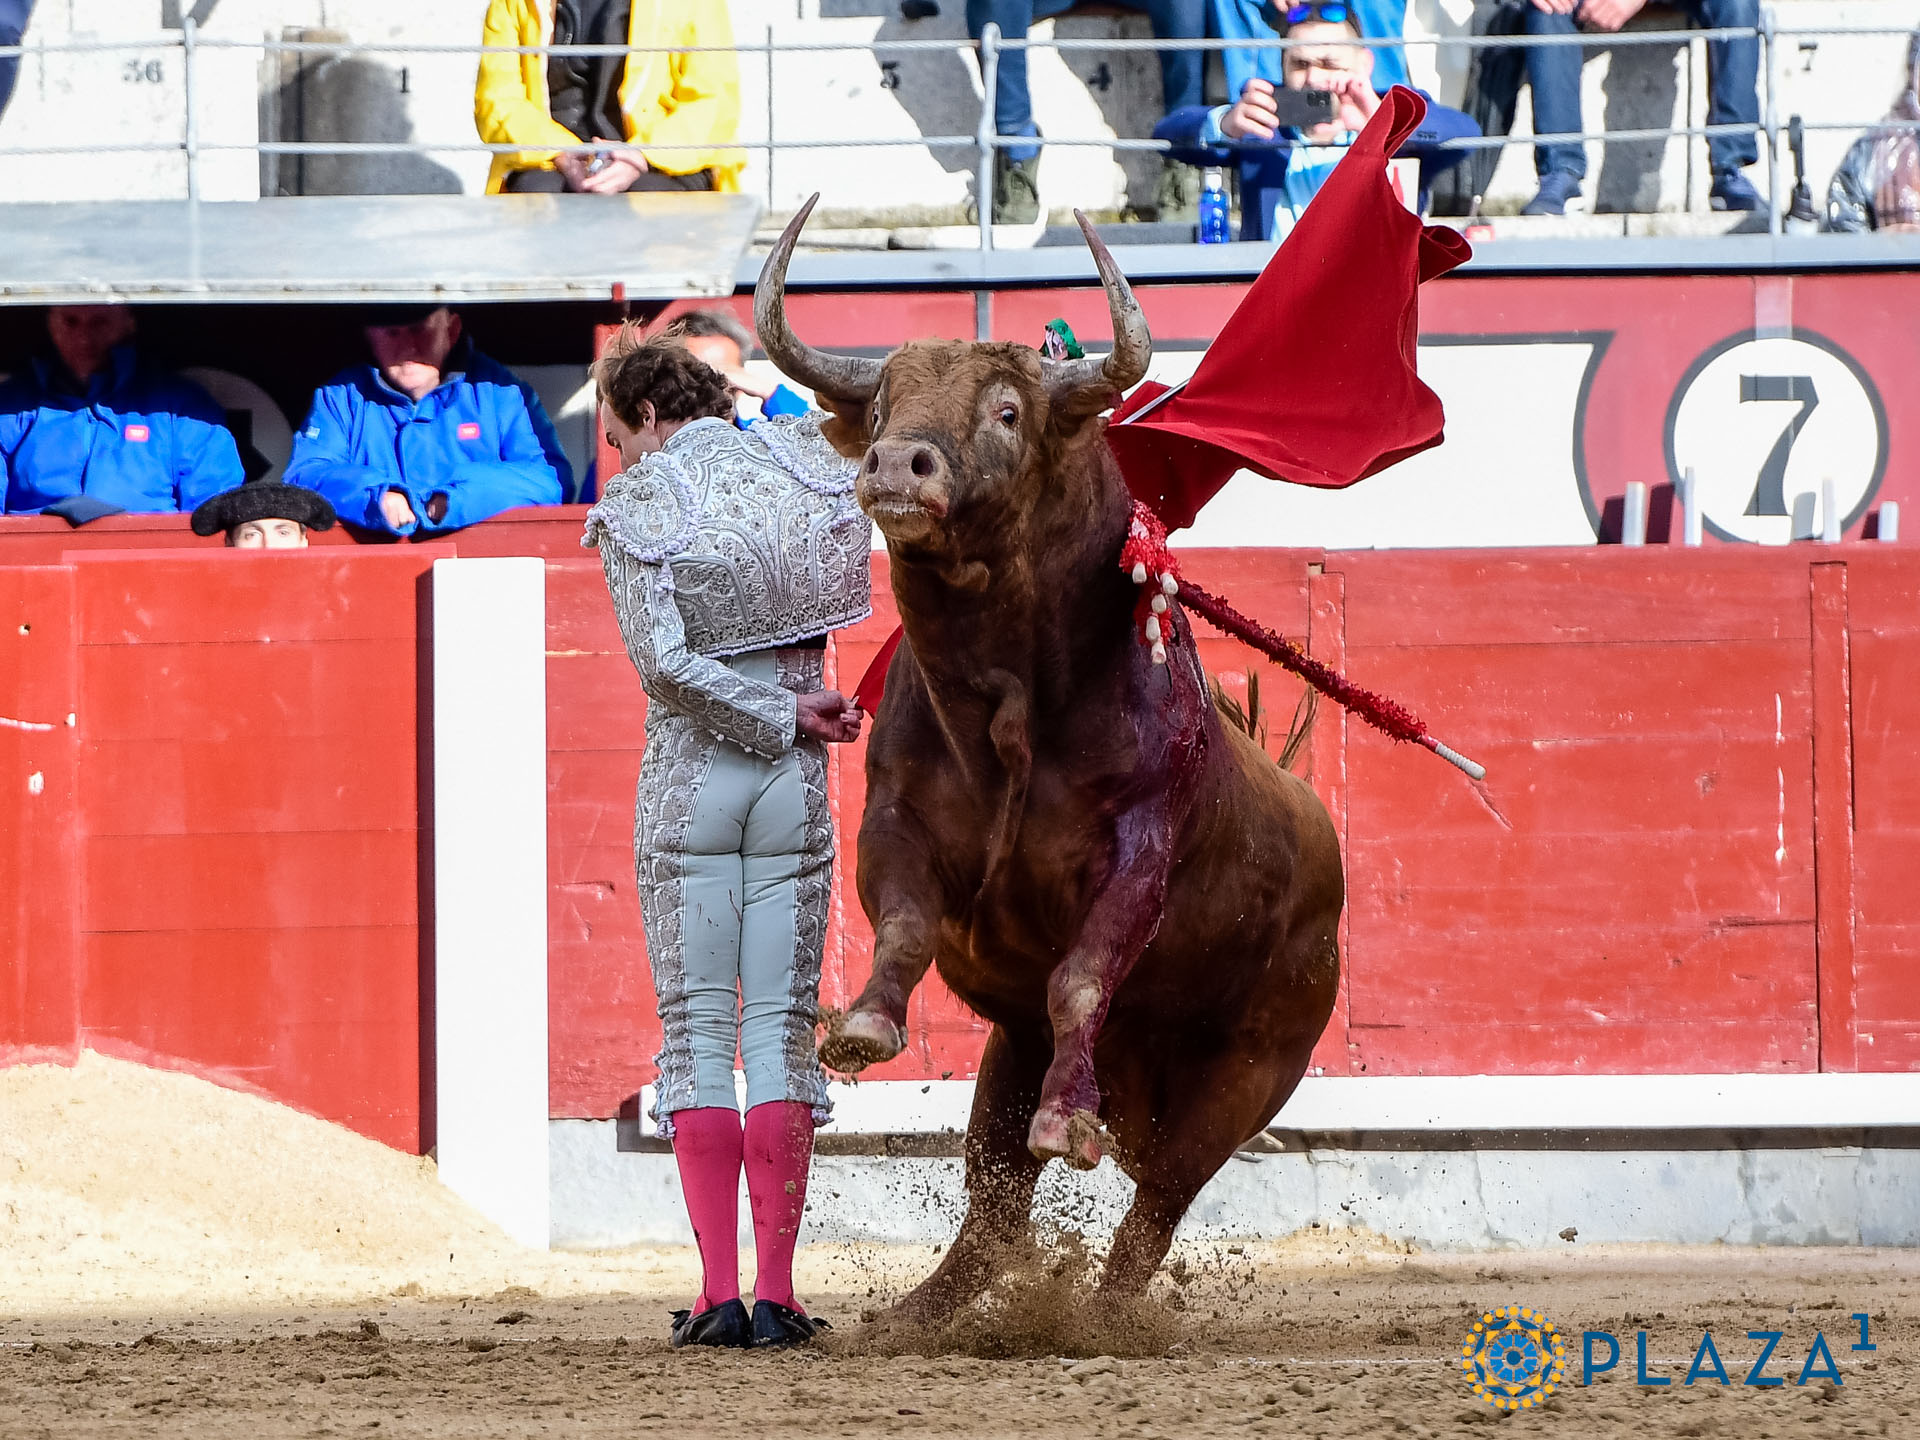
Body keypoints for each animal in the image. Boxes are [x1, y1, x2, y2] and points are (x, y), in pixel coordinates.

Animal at [755, 199, 1344, 1318]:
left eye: (1006, 411)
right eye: (884, 400)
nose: (897, 465)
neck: (1013, 710)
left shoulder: (1138, 853)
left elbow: (1082, 974)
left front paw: (1070, 1123)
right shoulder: (898, 822)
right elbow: (904, 925)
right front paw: (860, 1029)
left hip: (1251, 1073)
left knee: (1155, 1204)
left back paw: (1104, 1311)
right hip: (1008, 1054)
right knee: (995, 1201)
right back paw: (922, 1316)